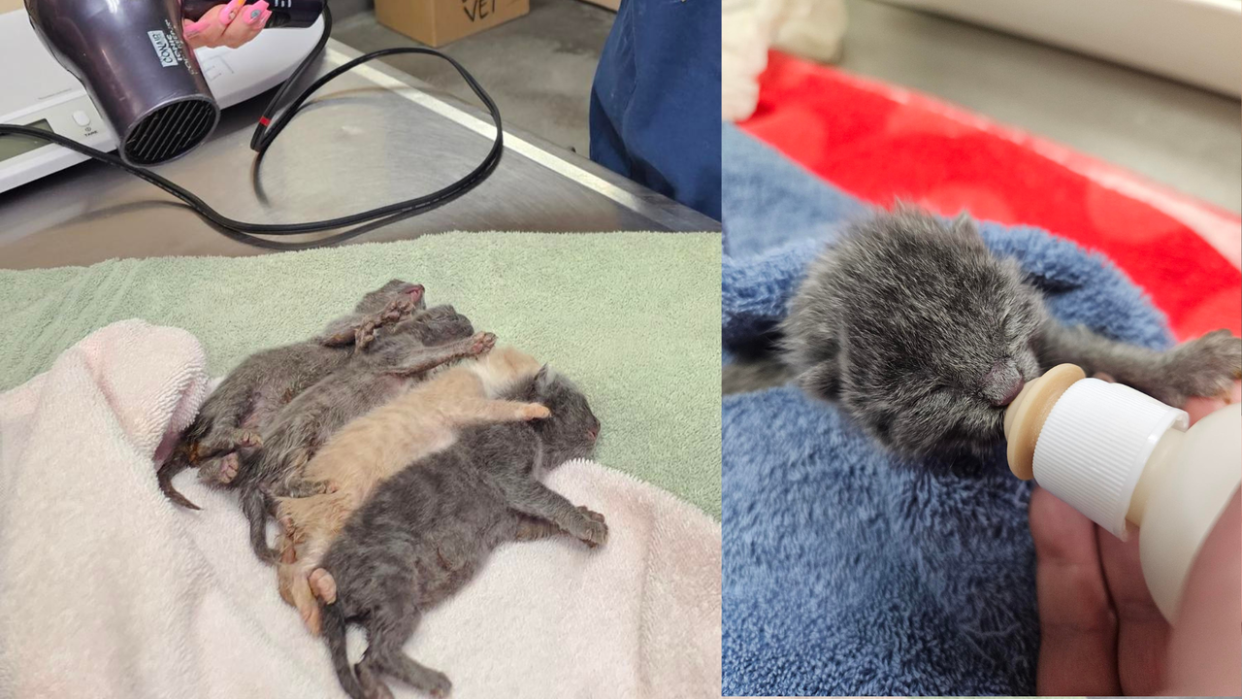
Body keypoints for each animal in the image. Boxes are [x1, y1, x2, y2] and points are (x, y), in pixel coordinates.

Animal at [158, 280, 427, 509]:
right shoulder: (342, 328)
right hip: (241, 387)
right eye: (396, 281)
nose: (422, 286)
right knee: (212, 437)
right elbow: (340, 332)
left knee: (210, 460)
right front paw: (387, 313)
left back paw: (224, 467)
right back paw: (227, 443)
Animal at [231, 309, 491, 561]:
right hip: (302, 431)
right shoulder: (402, 355)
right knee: (279, 483)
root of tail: (251, 469)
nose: (468, 320)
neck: (409, 333)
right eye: (452, 314)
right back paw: (317, 487)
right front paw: (474, 344)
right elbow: (436, 353)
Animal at [276, 345, 548, 635]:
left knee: (290, 574)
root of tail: (286, 505)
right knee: (293, 572)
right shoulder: (463, 402)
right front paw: (534, 409)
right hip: (335, 514)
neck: (479, 373)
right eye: (530, 364)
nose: (543, 370)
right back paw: (314, 611)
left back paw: (320, 591)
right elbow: (499, 408)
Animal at [317, 369, 603, 695]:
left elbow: (546, 519)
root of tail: (327, 569)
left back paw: (379, 690)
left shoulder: (515, 522)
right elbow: (552, 500)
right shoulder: (508, 474)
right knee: (379, 652)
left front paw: (589, 517)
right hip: (394, 578)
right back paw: (433, 681)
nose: (598, 425)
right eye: (581, 401)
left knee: (364, 661)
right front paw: (586, 523)